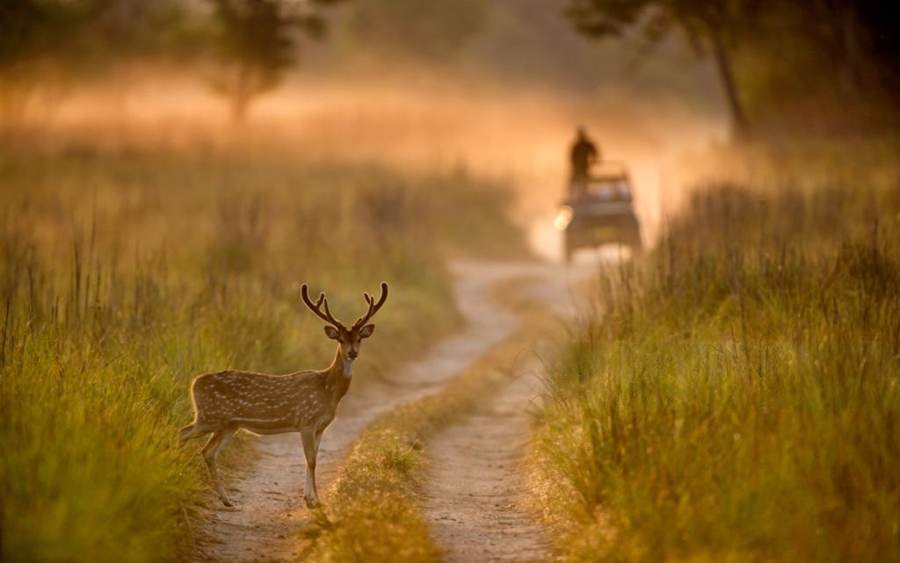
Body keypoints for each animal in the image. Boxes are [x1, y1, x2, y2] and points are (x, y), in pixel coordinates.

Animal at [179, 282, 388, 508]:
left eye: (359, 338)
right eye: (340, 339)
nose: (352, 353)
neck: (328, 390)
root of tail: (194, 383)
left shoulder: (321, 427)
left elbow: (313, 458)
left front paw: (310, 497)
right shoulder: (306, 420)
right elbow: (311, 460)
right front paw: (314, 500)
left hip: (229, 424)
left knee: (208, 452)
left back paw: (226, 500)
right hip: (210, 416)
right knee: (184, 432)